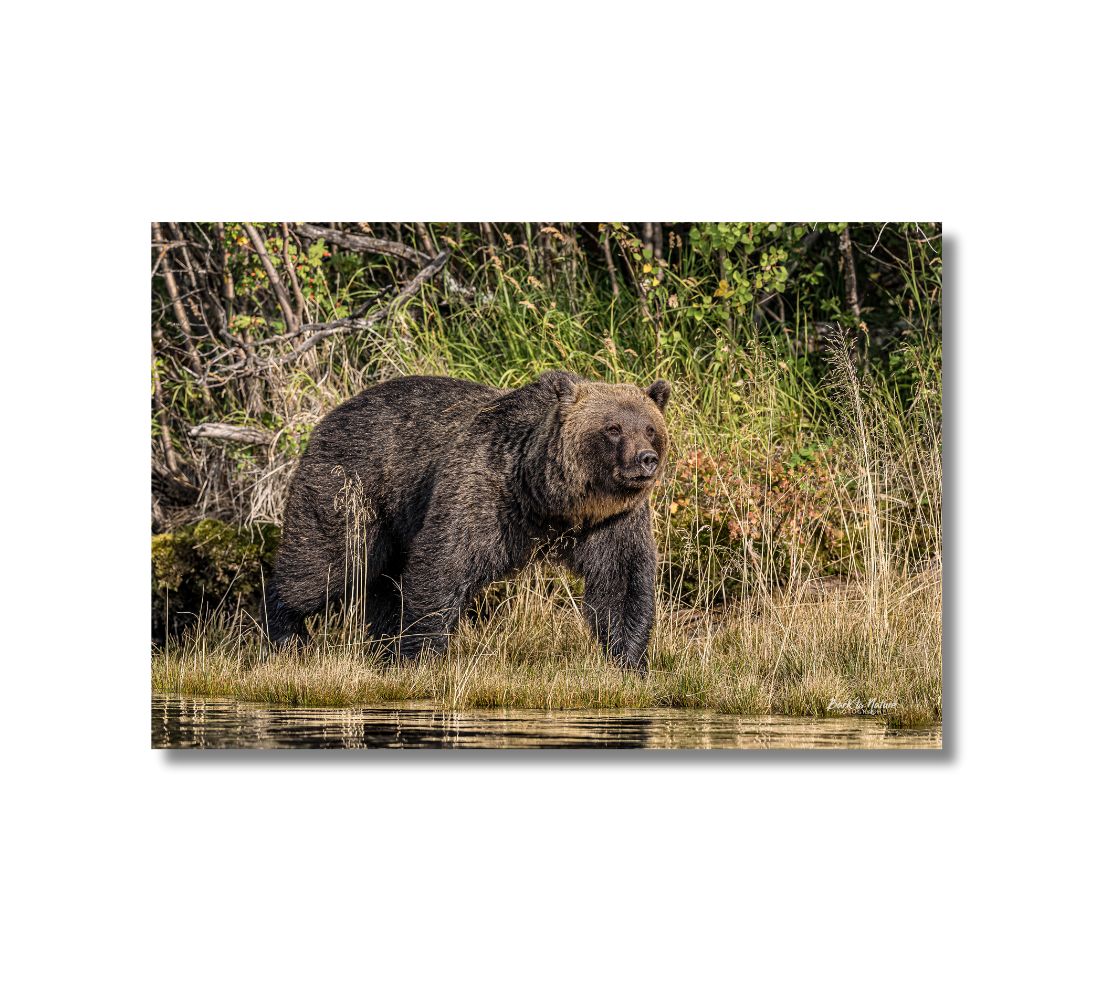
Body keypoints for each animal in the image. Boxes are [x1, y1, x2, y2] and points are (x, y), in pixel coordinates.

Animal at [264, 370, 670, 672]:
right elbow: (444, 563)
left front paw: (630, 662)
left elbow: (622, 582)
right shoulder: (486, 491)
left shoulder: (613, 520)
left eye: (650, 429)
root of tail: (332, 412)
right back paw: (287, 634)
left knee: (382, 583)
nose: (646, 459)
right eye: (613, 428)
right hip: (351, 487)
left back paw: (381, 647)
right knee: (328, 563)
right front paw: (421, 656)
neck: (551, 500)